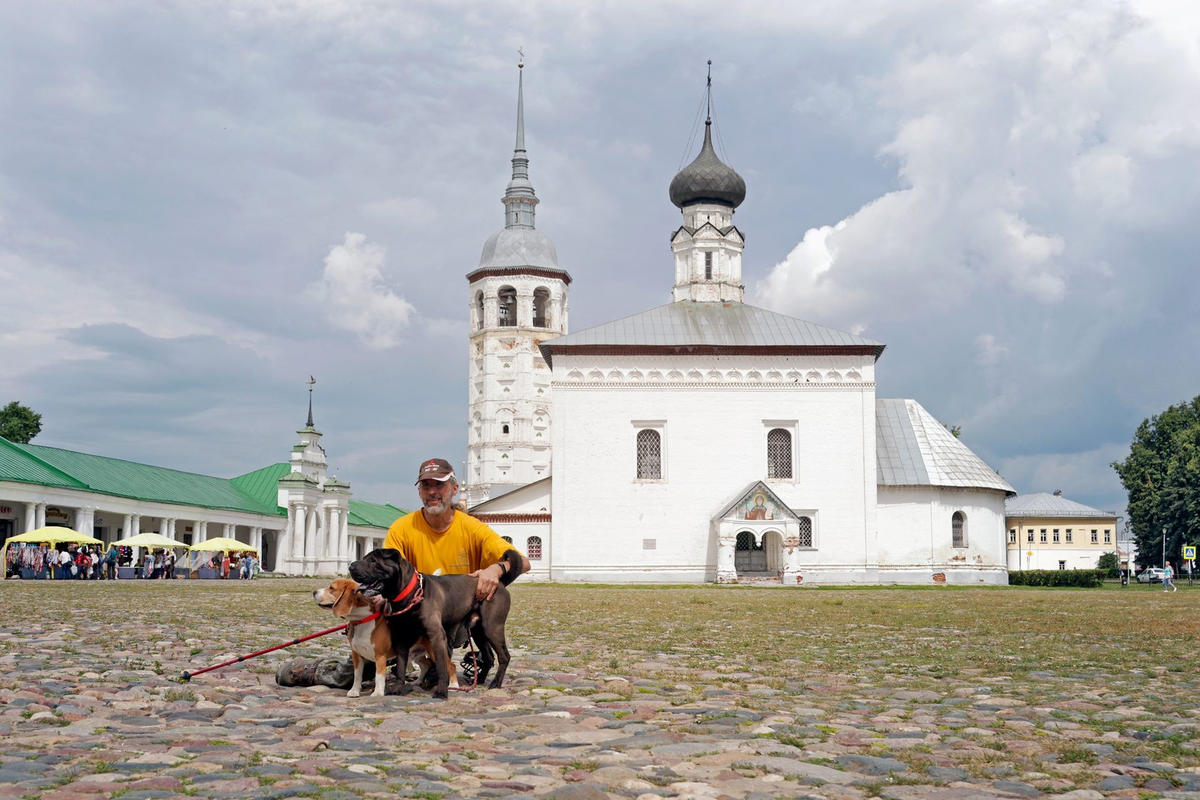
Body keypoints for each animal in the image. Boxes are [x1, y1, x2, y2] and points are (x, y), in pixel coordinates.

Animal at [312, 578, 456, 695]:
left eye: (332, 588)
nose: (314, 592)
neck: (362, 620)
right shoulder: (356, 655)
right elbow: (357, 675)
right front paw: (354, 691)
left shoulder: (380, 655)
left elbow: (379, 676)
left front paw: (377, 693)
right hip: (416, 652)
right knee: (426, 665)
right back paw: (417, 682)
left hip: (434, 651)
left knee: (451, 666)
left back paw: (453, 686)